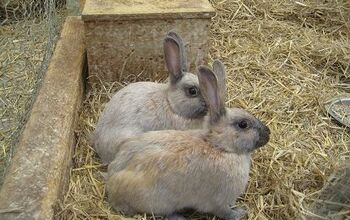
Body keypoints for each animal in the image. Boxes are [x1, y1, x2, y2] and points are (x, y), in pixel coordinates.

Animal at [105, 60, 270, 220]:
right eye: (243, 124)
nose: (267, 134)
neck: (219, 147)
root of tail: (112, 187)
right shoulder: (219, 202)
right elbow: (225, 213)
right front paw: (242, 212)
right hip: (160, 203)